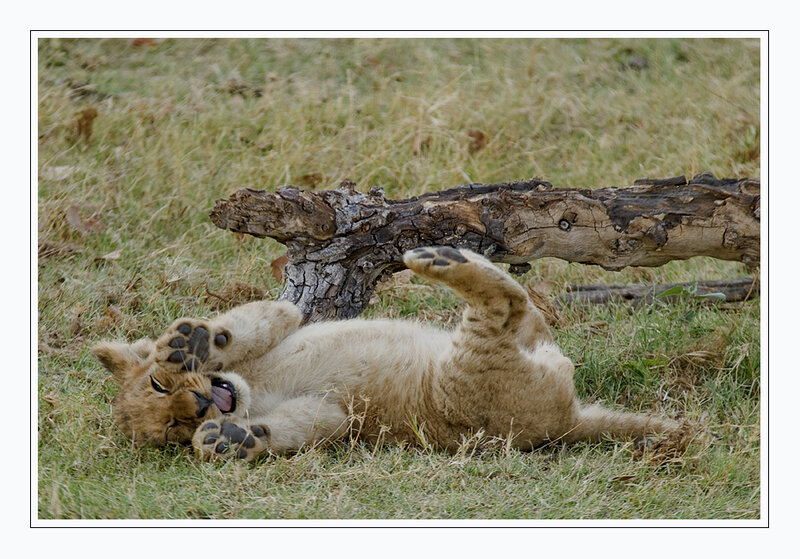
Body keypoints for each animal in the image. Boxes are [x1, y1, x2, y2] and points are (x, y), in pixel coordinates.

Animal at [92, 246, 679, 461]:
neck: (254, 390)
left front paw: (188, 345)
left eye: (158, 388)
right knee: (507, 306)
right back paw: (443, 257)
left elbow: (248, 323)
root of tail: (565, 424)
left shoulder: (288, 316)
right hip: (477, 367)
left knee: (514, 297)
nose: (195, 410)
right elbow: (297, 427)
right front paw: (227, 440)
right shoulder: (336, 417)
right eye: (171, 431)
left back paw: (439, 255)